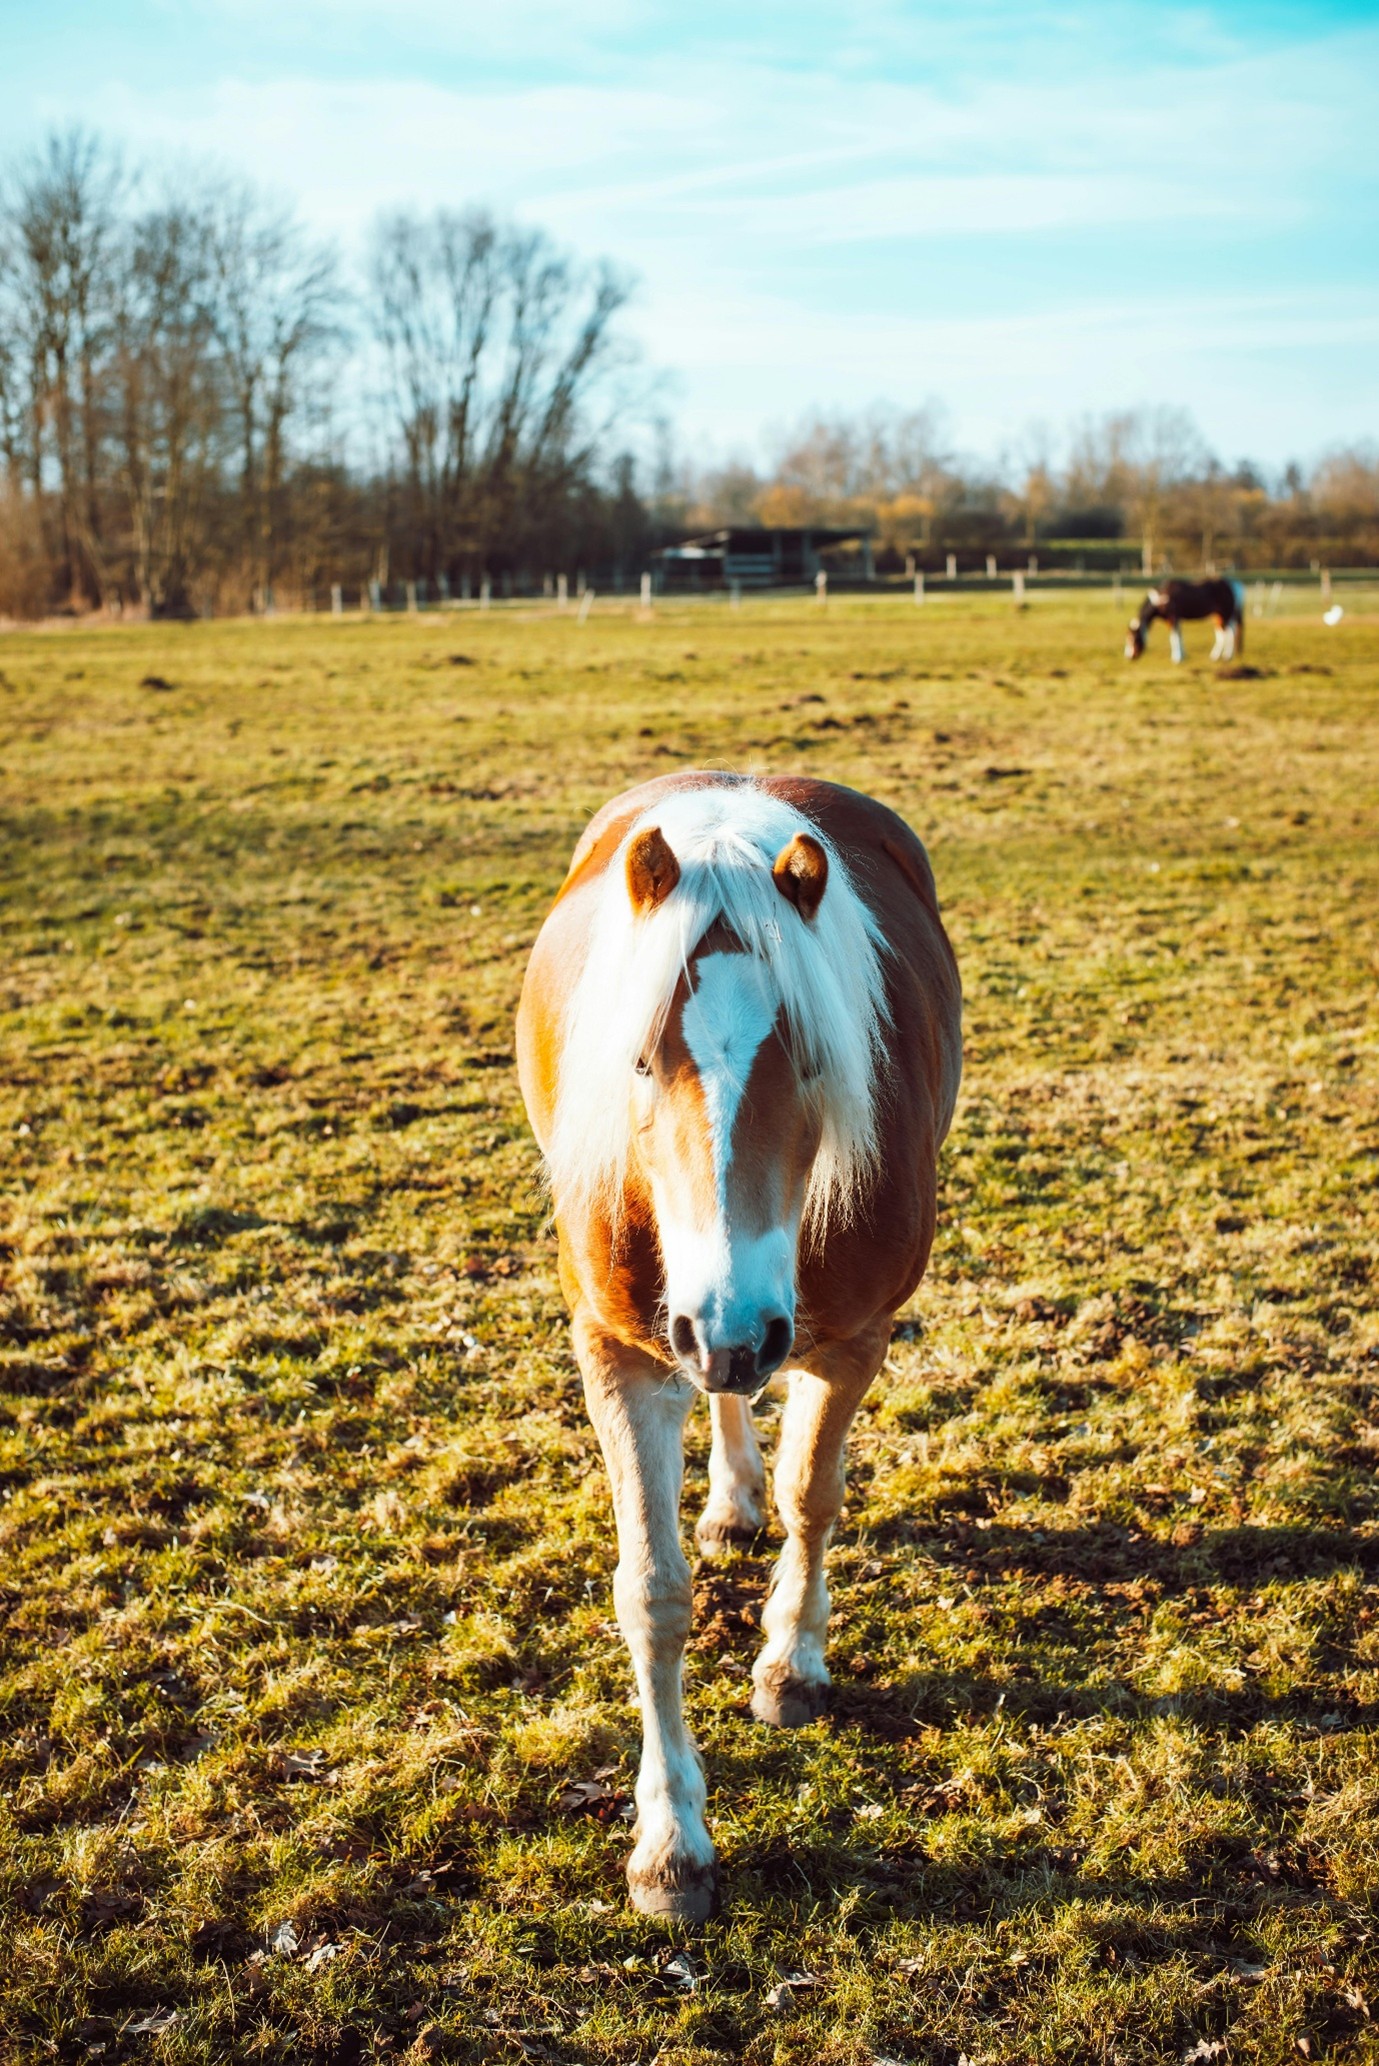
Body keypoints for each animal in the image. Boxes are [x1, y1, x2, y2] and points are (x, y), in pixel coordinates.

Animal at [516, 772, 963, 1919]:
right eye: (638, 1057)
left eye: (808, 1059)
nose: (730, 1324)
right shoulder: (620, 1355)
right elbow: (651, 1593)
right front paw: (670, 1841)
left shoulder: (851, 1341)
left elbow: (813, 1496)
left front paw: (790, 1662)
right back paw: (724, 1493)